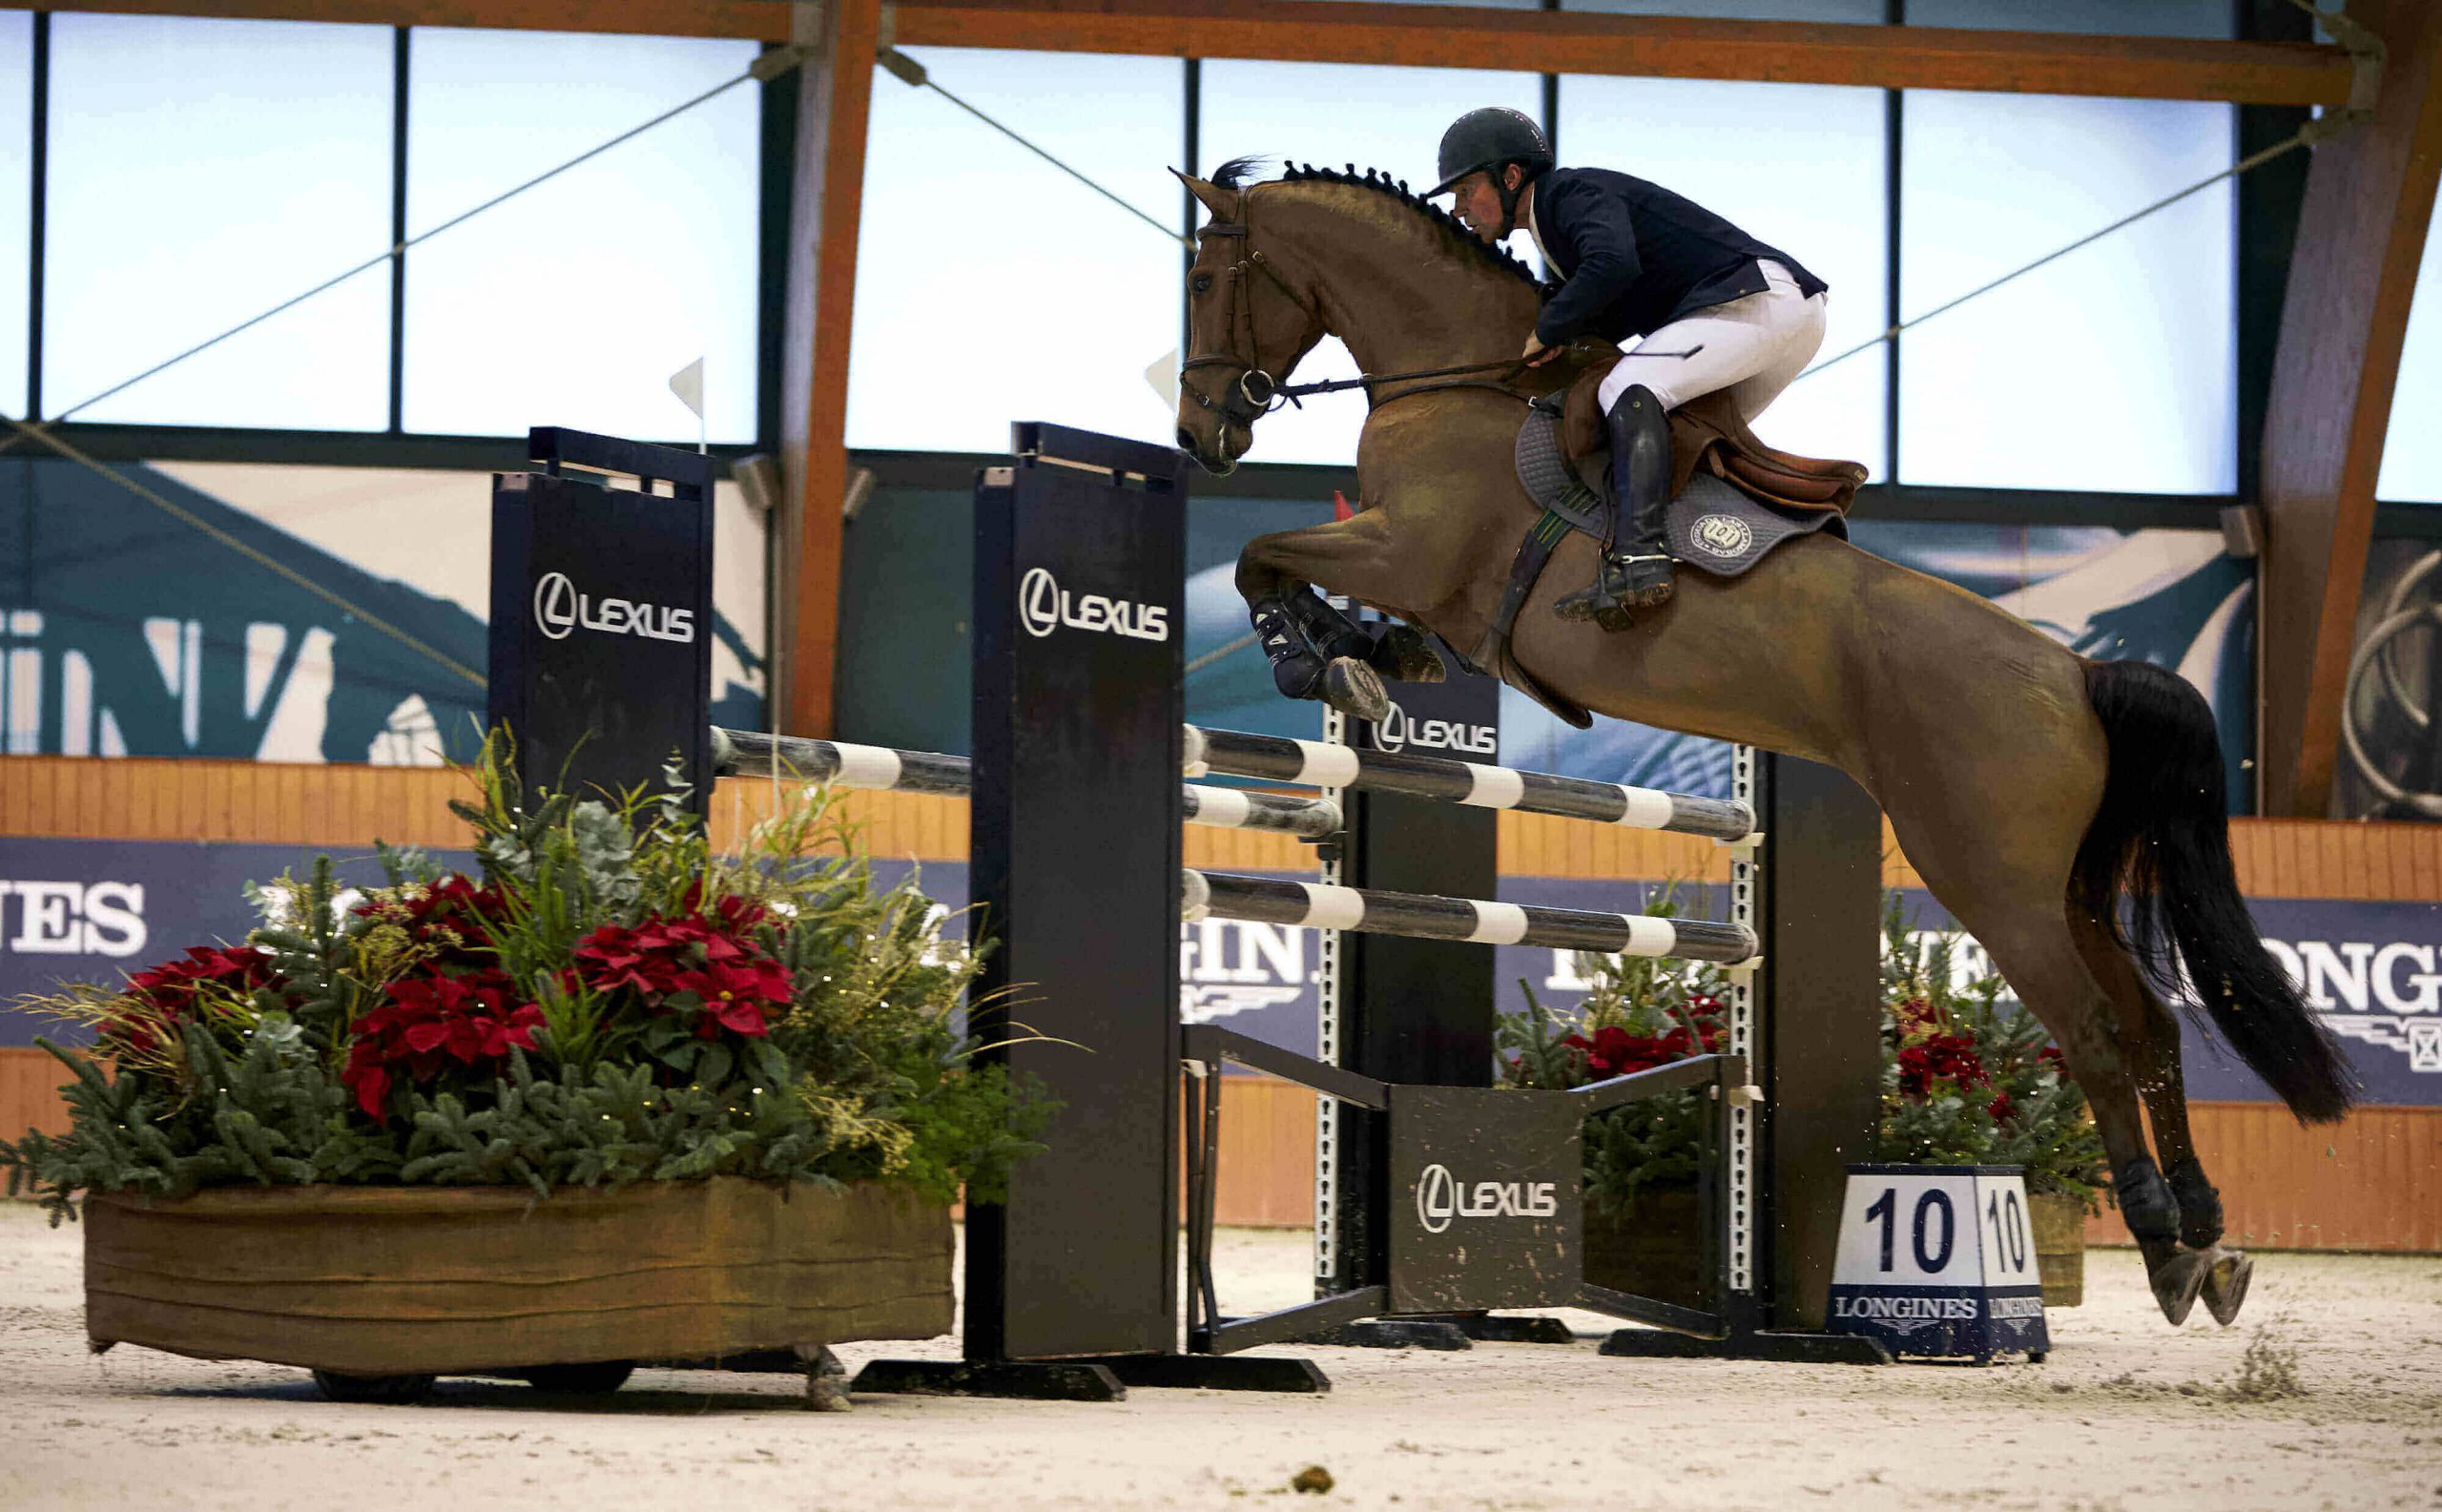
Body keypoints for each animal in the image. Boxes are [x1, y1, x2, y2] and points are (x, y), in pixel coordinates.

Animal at [1171, 159, 2353, 1328]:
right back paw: (2207, 1240)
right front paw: (1360, 653)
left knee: (2098, 1034)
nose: (1198, 436)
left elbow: (1263, 553)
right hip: (2065, 887)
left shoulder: (1407, 551)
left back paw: (2160, 1242)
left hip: (1990, 879)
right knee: (2151, 1028)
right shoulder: (1416, 578)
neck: (1461, 381)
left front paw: (1319, 660)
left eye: (1203, 278)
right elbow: (1299, 575)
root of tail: (2074, 673)